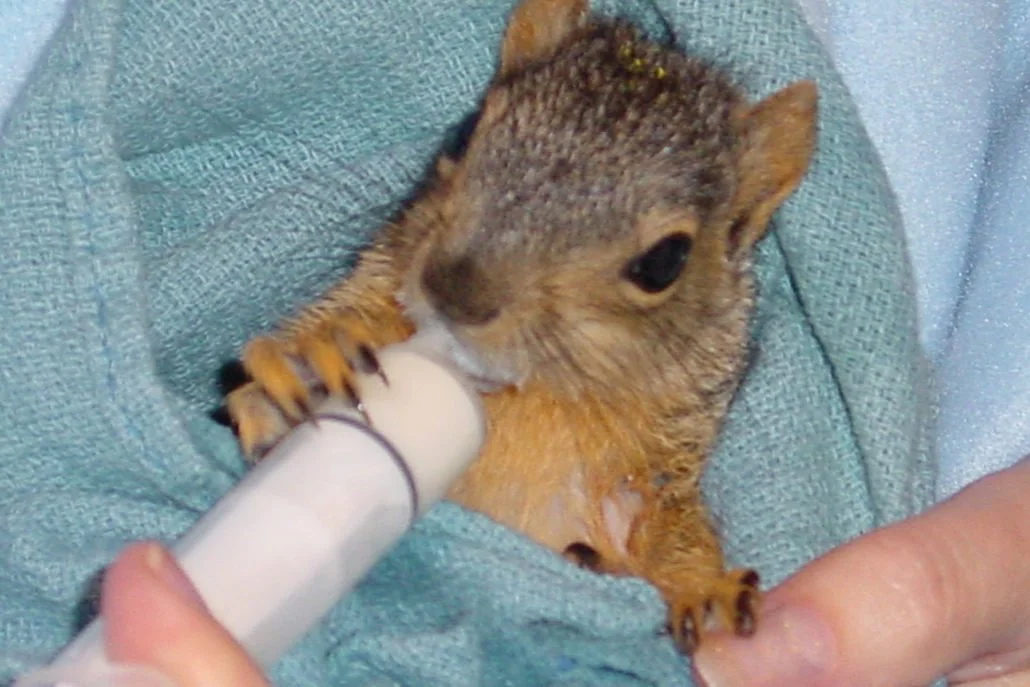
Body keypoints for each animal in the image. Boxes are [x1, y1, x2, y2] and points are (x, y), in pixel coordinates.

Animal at [225, 0, 817, 655]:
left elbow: (669, 524)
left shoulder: (663, 454)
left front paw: (702, 584)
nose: (456, 291)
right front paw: (314, 353)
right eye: (465, 133)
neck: (536, 393)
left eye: (665, 261)